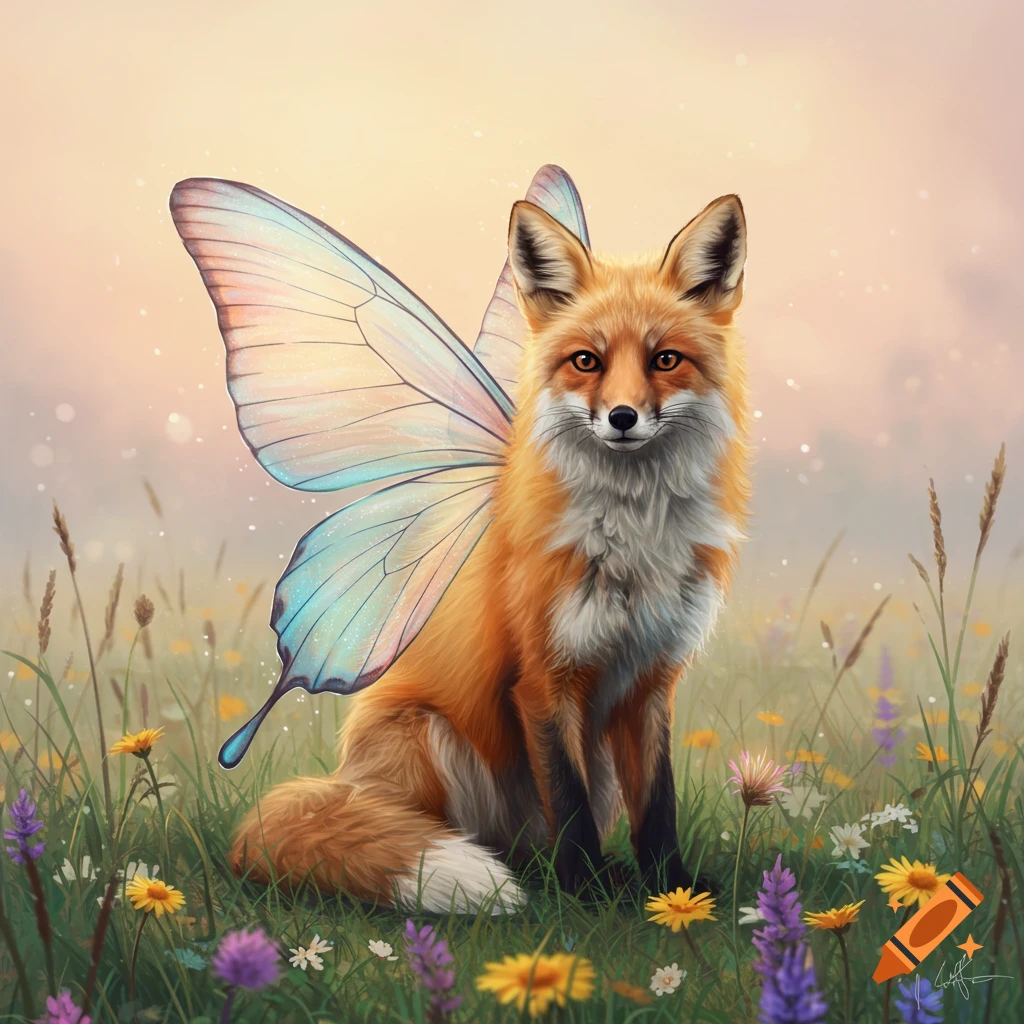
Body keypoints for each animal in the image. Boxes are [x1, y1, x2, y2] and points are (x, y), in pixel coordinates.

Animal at [171, 169, 750, 914]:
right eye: (586, 362)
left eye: (666, 360)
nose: (622, 418)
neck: (632, 541)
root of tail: (348, 778)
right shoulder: (543, 682)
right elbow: (570, 808)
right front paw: (586, 895)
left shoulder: (650, 681)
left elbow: (659, 807)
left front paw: (672, 891)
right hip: (429, 736)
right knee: (460, 833)